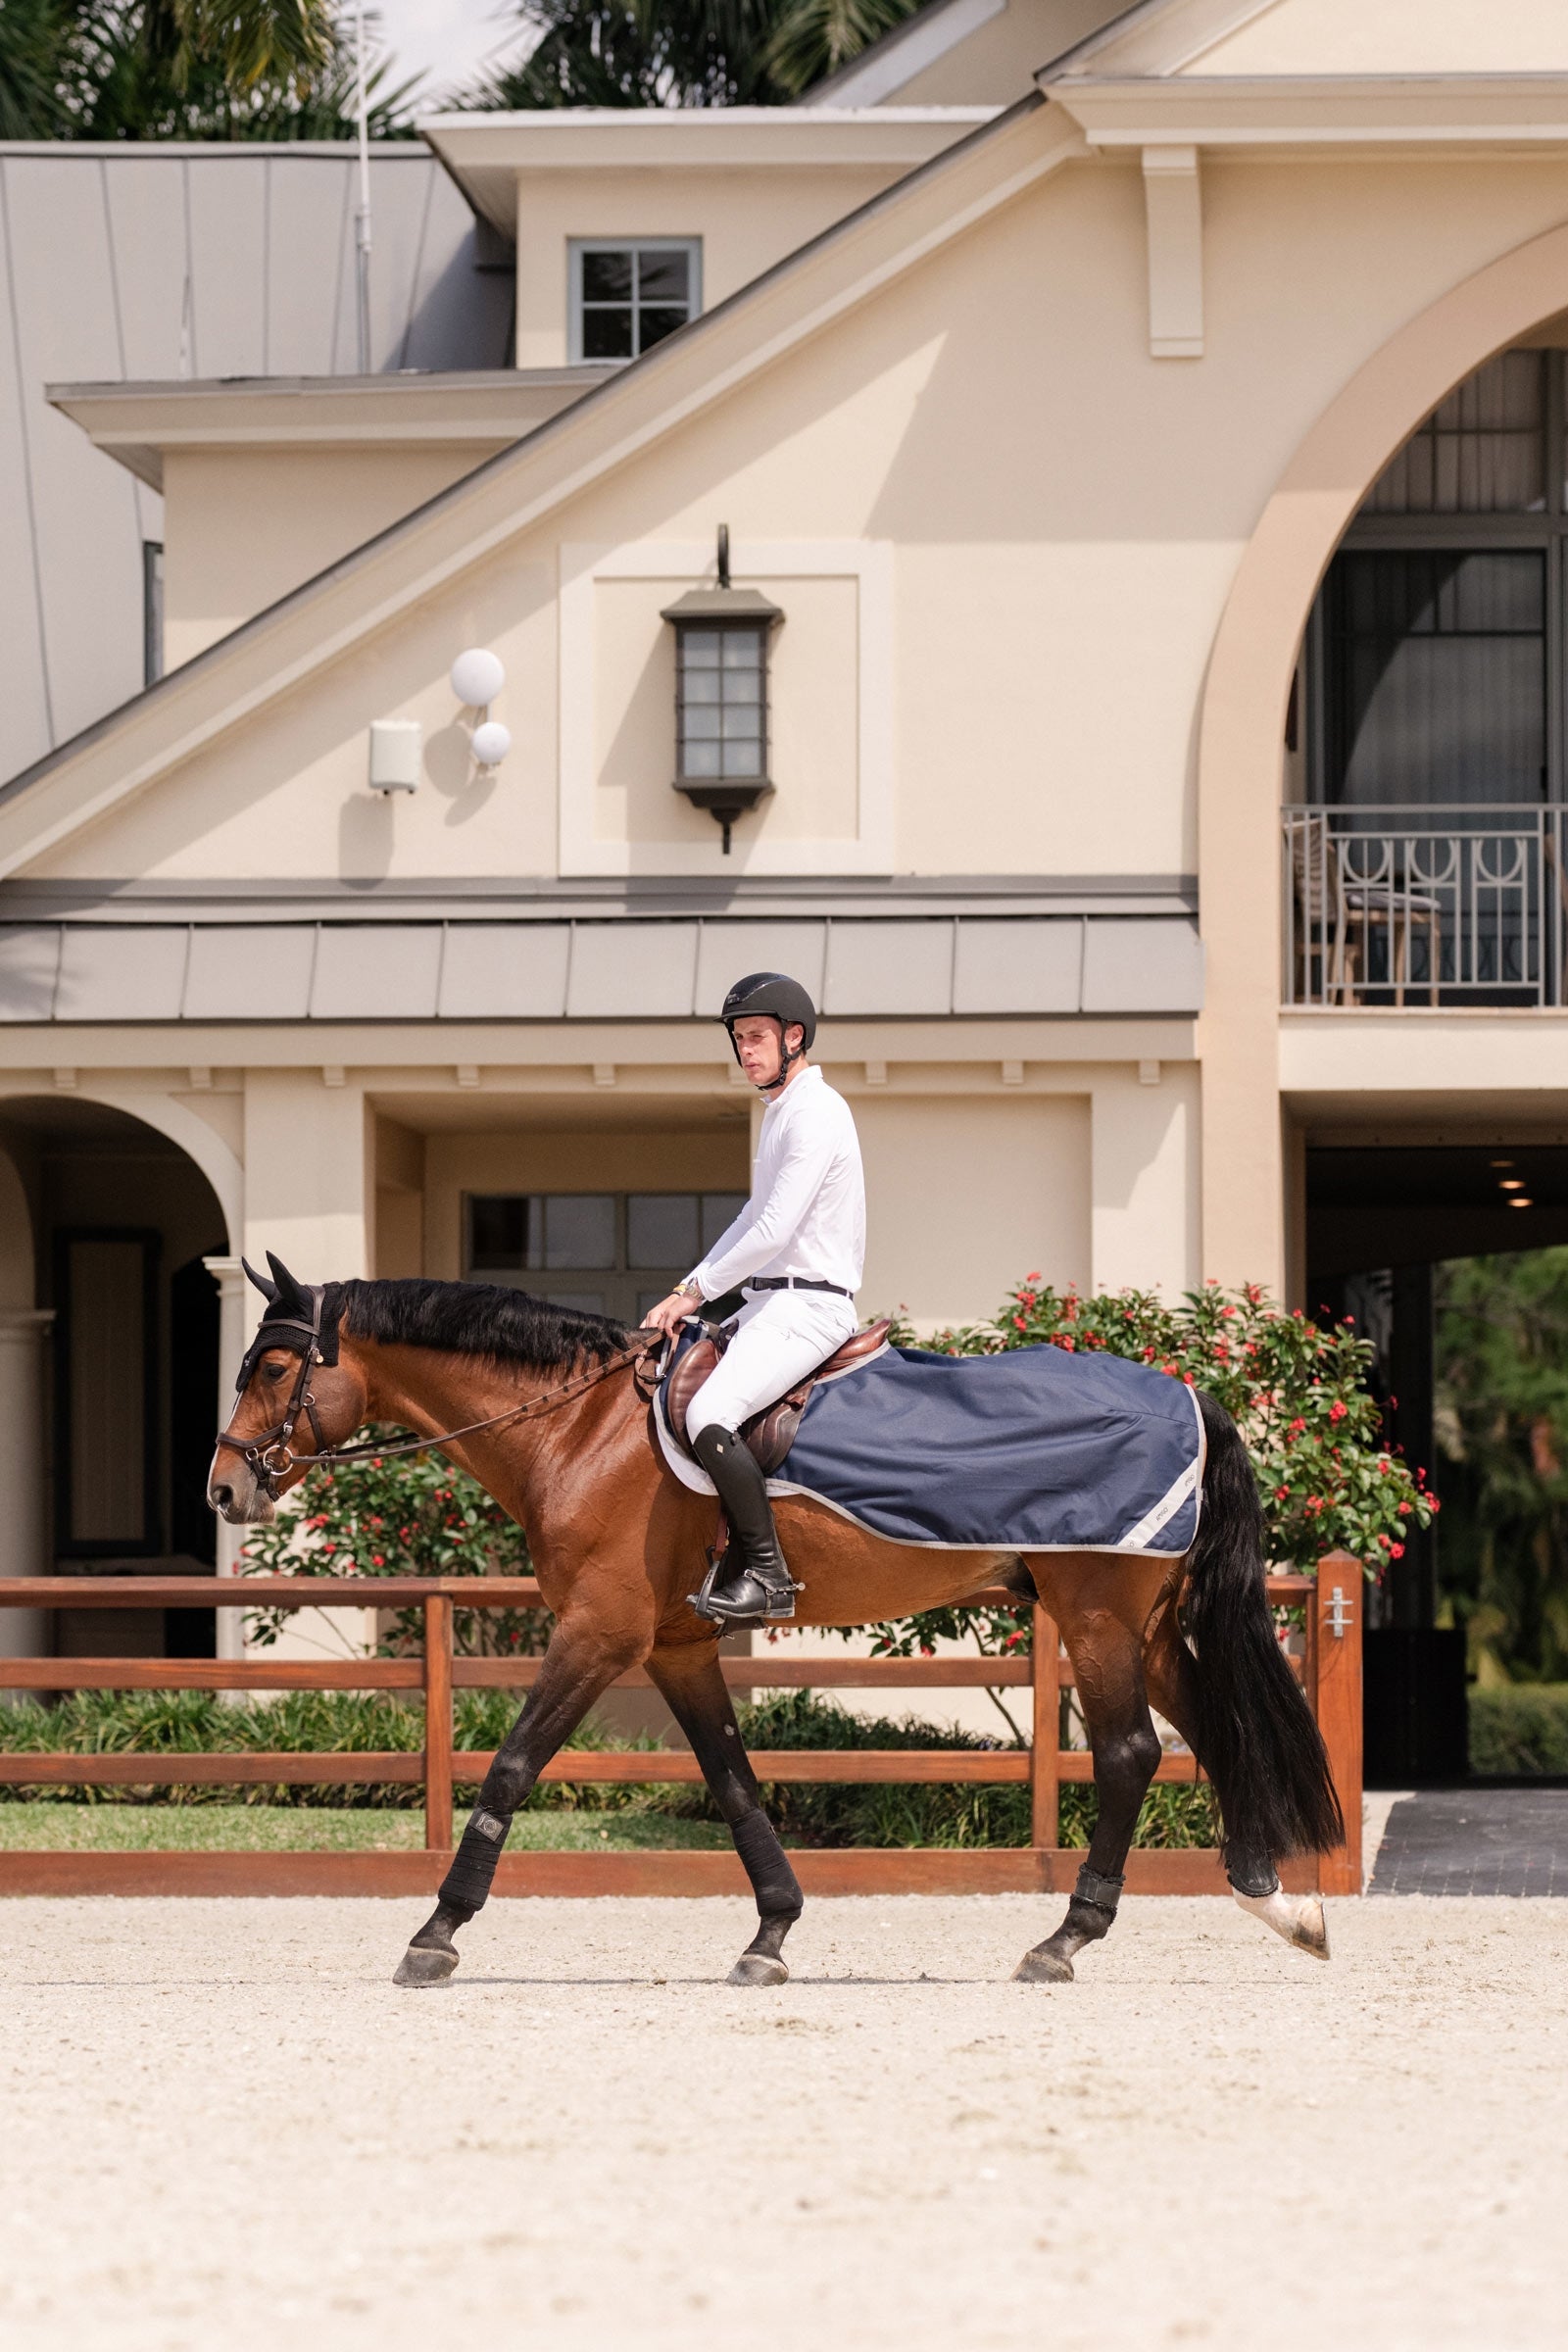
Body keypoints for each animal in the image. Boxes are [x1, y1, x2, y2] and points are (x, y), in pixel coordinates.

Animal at [208, 1258, 1344, 1989]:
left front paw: (436, 1934)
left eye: (273, 1369)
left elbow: (509, 1770)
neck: (579, 1428)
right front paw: (771, 1934)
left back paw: (1065, 1940)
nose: (224, 1489)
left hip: (1096, 1613)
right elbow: (733, 1780)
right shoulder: (675, 1647)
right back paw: (1275, 1901)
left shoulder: (598, 1634)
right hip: (1140, 1625)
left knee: (1127, 1754)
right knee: (1211, 1730)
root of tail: (1188, 1395)